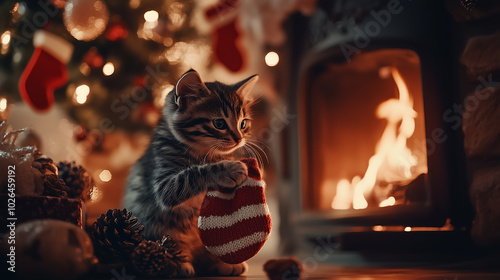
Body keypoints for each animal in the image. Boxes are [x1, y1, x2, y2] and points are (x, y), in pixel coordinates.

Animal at [123, 69, 260, 276]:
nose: (239, 139)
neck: (204, 153)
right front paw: (230, 168)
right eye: (219, 123)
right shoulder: (163, 183)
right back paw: (178, 264)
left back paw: (223, 263)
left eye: (243, 124)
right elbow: (191, 174)